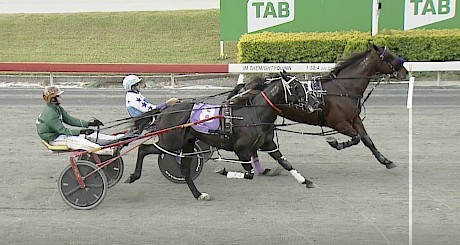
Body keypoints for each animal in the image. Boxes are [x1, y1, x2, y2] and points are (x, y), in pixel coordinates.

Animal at [124, 72, 314, 201]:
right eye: (296, 87)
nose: (315, 102)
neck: (253, 114)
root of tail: (165, 110)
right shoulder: (242, 150)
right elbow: (249, 174)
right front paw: (222, 171)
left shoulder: (267, 144)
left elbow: (285, 163)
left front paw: (305, 181)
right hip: (170, 142)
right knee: (144, 149)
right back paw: (133, 176)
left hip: (186, 144)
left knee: (185, 170)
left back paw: (198, 194)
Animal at [278, 44, 408, 169]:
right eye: (389, 57)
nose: (405, 72)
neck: (344, 88)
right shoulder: (338, 123)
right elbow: (356, 138)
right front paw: (335, 143)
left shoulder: (355, 118)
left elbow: (366, 139)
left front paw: (385, 160)